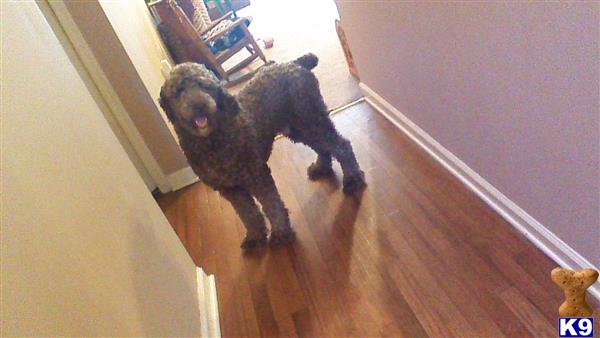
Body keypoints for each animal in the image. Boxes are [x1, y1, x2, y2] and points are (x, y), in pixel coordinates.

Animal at [159, 52, 366, 248]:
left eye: (205, 86)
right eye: (179, 91)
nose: (199, 106)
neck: (212, 140)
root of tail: (295, 62)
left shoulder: (257, 176)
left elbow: (271, 205)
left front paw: (281, 232)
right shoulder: (231, 189)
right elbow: (248, 213)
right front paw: (255, 236)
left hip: (310, 120)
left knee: (341, 146)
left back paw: (353, 179)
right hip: (299, 128)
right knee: (323, 147)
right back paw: (321, 167)